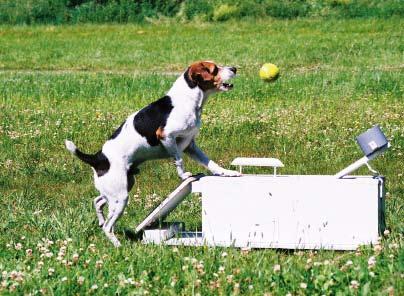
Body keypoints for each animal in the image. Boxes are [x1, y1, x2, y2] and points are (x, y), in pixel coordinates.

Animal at [65, 61, 240, 246]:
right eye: (214, 69)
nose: (234, 69)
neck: (188, 99)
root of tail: (97, 158)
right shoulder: (167, 136)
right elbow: (178, 160)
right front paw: (184, 176)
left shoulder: (190, 145)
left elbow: (211, 163)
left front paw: (227, 173)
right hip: (120, 196)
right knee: (108, 226)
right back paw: (118, 245)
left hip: (121, 187)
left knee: (97, 201)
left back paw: (100, 220)